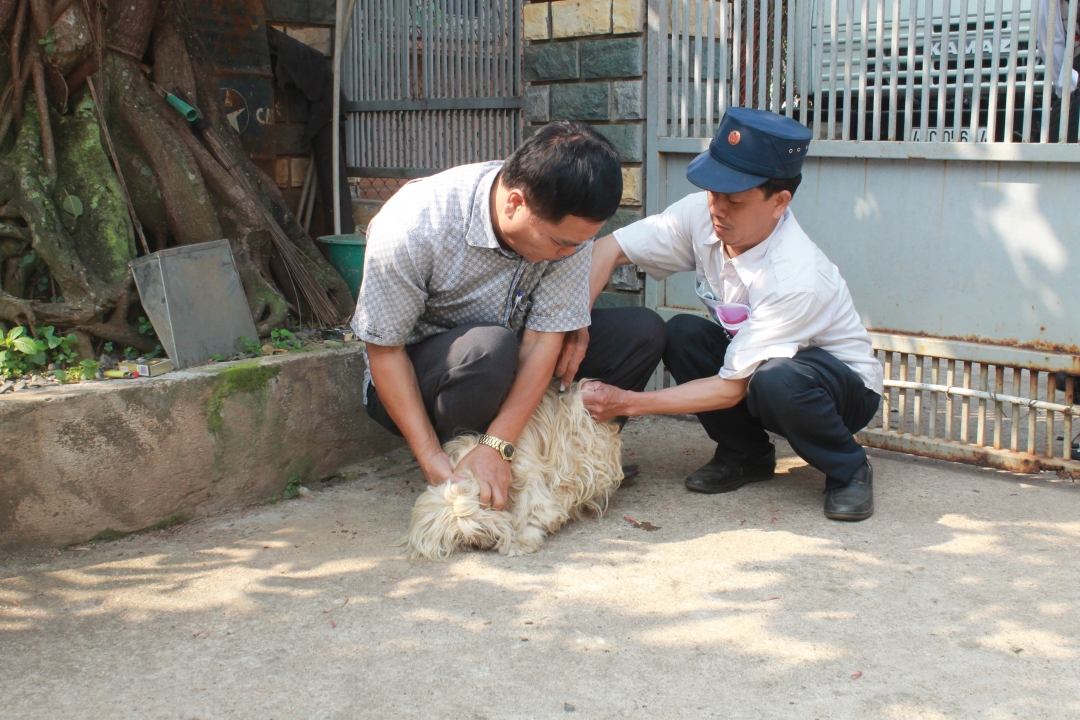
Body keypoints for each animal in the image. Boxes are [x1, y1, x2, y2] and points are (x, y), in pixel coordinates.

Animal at [403, 379, 626, 561]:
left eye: (475, 528)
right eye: (456, 537)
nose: (473, 543)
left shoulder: (528, 476)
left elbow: (534, 507)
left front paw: (520, 540)